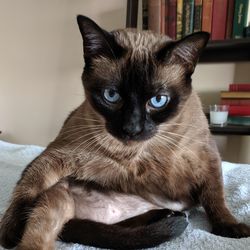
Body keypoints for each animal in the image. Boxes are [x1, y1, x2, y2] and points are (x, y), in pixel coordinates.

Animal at [0, 15, 250, 250]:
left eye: (158, 100)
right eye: (111, 96)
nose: (132, 128)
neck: (141, 154)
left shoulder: (206, 157)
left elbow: (215, 196)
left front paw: (230, 228)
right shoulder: (57, 156)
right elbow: (26, 189)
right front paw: (10, 232)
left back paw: (171, 215)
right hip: (58, 197)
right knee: (39, 233)